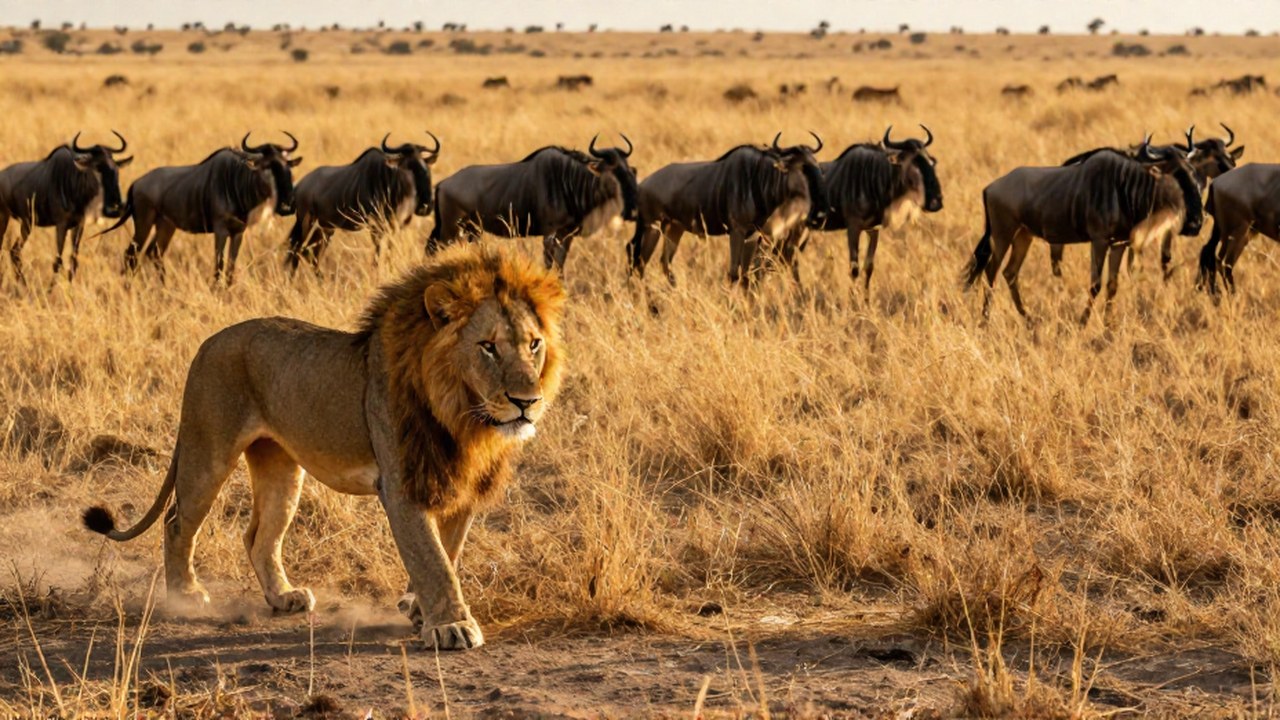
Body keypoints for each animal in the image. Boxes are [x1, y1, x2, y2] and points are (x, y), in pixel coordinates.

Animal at [83, 242, 566, 650]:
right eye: (488, 347)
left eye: (534, 344)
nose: (528, 402)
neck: (464, 417)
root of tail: (209, 341)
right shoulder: (401, 484)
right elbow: (432, 559)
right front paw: (451, 626)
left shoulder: (459, 483)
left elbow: (447, 550)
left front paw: (418, 610)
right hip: (208, 451)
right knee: (177, 520)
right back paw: (186, 596)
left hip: (280, 467)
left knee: (258, 535)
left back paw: (283, 597)